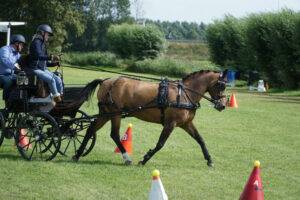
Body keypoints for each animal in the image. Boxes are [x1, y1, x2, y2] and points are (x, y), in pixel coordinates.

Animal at [71, 69, 227, 166]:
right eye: (221, 86)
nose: (223, 105)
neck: (184, 94)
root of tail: (106, 81)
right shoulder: (170, 124)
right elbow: (160, 144)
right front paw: (144, 159)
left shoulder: (186, 123)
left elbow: (200, 139)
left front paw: (209, 160)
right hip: (115, 113)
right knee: (114, 134)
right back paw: (127, 158)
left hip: (106, 113)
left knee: (91, 130)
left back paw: (77, 155)